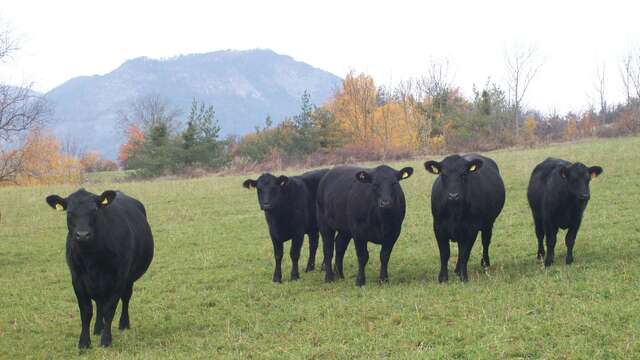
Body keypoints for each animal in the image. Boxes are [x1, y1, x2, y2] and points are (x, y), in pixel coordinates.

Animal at [45, 188, 154, 348]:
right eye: (69, 212)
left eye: (94, 210)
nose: (82, 235)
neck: (91, 259)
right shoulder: (77, 279)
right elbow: (86, 311)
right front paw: (84, 342)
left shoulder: (118, 279)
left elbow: (109, 309)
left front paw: (106, 340)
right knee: (99, 303)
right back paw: (97, 328)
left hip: (128, 278)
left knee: (125, 298)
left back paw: (123, 324)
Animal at [424, 153, 504, 282]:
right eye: (443, 174)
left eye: (464, 174)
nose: (453, 195)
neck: (454, 212)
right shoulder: (438, 227)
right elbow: (445, 253)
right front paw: (443, 278)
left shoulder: (471, 229)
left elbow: (464, 253)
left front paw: (463, 277)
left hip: (489, 223)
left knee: (485, 242)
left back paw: (485, 264)